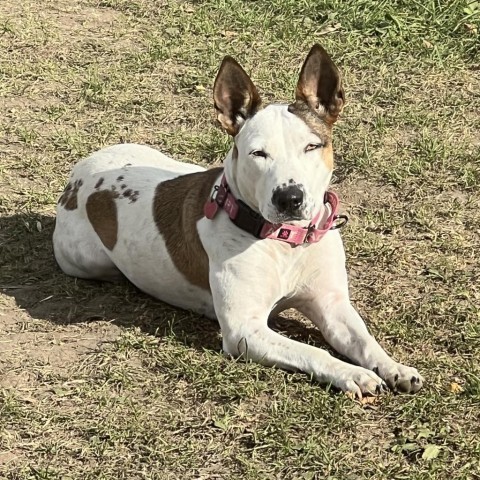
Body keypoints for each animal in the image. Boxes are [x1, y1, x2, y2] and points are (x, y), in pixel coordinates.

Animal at [53, 45, 424, 398]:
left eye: (312, 146)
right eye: (258, 153)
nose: (289, 198)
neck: (285, 241)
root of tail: (79, 174)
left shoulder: (331, 305)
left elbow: (365, 340)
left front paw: (395, 367)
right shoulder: (244, 330)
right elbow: (312, 352)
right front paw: (353, 374)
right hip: (85, 261)